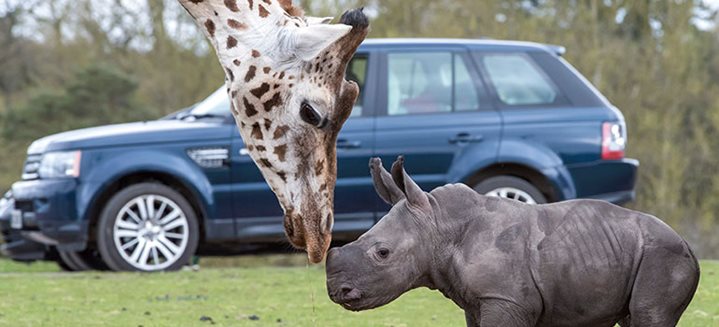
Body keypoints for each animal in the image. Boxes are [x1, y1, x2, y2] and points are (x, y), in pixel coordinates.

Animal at [326, 158, 696, 326]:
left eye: (383, 253)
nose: (336, 291)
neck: (439, 226)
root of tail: (687, 243)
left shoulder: (504, 298)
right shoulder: (478, 302)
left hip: (664, 256)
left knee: (649, 314)